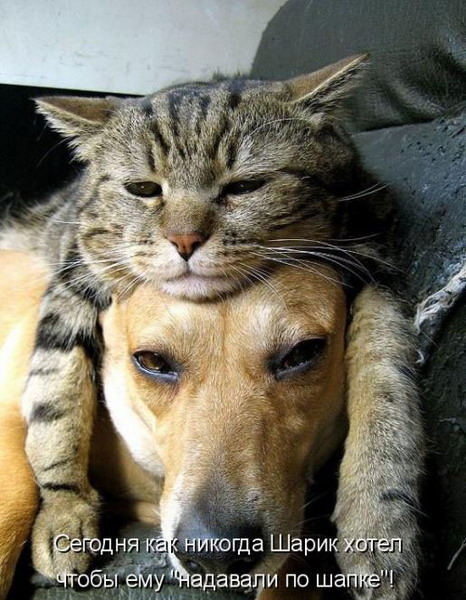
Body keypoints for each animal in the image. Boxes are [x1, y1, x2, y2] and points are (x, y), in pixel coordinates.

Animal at [0, 55, 423, 597]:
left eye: (244, 186)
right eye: (143, 190)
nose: (184, 240)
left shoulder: (377, 262)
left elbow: (386, 379)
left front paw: (379, 517)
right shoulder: (74, 276)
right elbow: (54, 400)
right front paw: (63, 508)